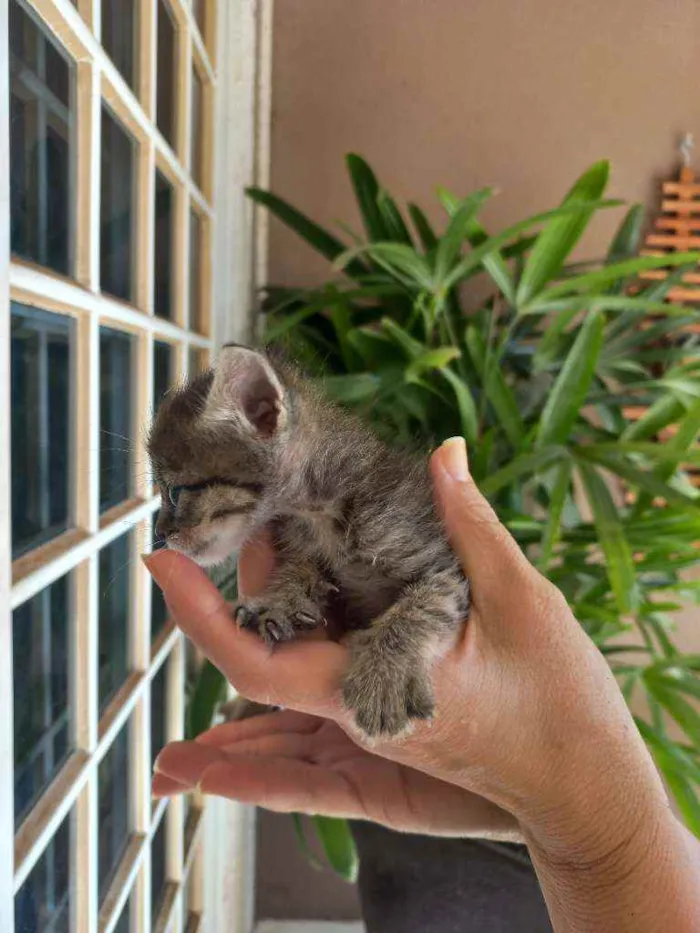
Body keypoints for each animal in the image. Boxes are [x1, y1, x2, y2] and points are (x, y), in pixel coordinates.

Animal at [150, 342, 474, 736]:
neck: (318, 513)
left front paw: (385, 678)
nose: (160, 533)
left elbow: (424, 606)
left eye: (175, 492)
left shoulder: (441, 564)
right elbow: (300, 568)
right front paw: (281, 599)